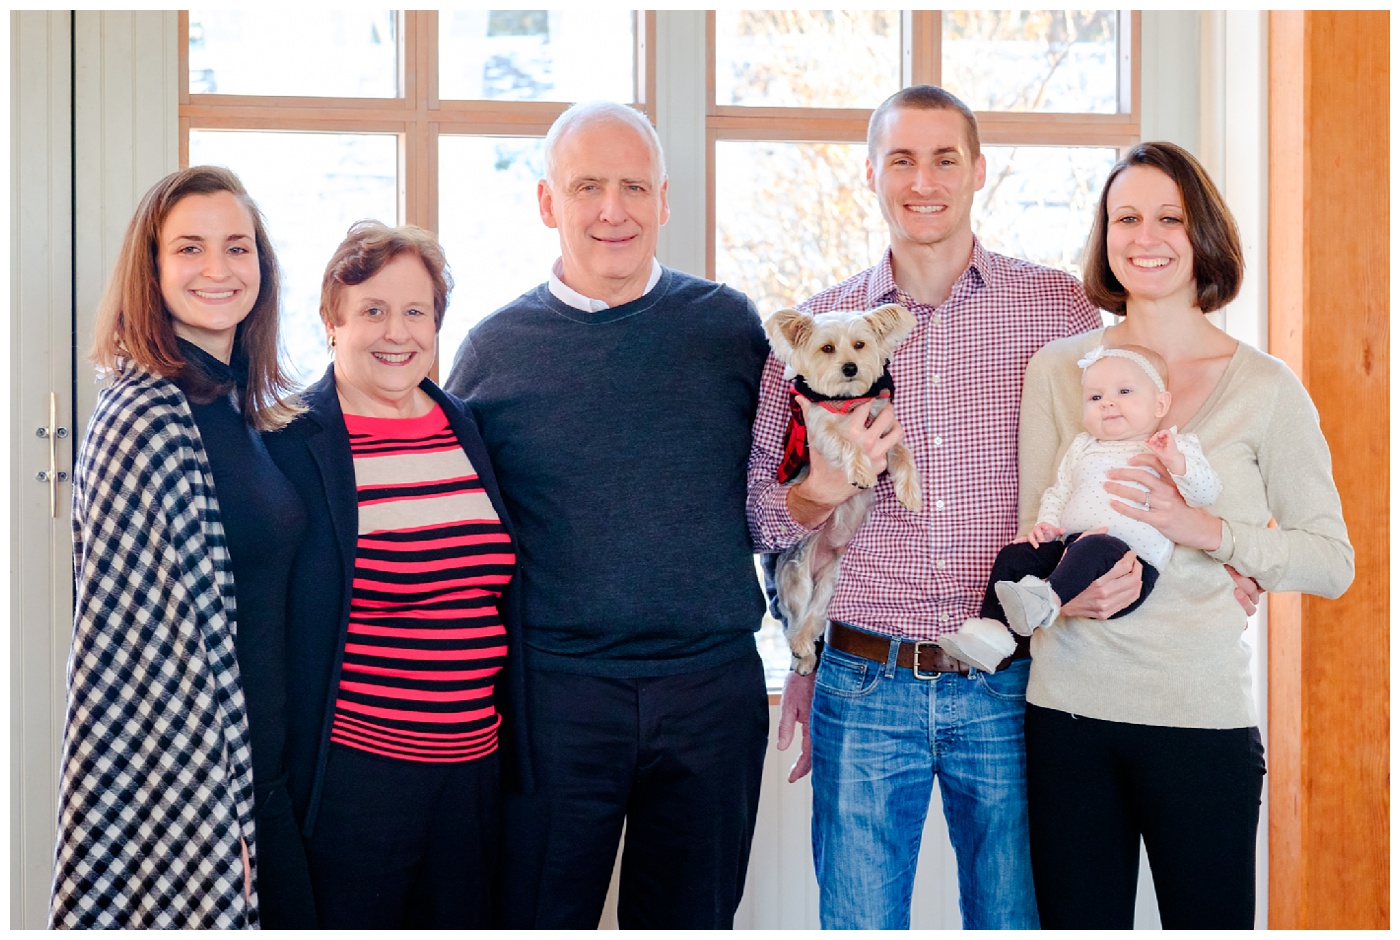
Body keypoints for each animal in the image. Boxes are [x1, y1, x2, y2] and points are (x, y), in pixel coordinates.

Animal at [761, 303, 924, 678]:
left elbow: (903, 453)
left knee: (815, 620)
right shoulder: (820, 430)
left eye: (860, 345)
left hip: (830, 583)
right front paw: (861, 470)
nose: (850, 367)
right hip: (796, 578)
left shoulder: (885, 426)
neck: (849, 401)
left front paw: (910, 492)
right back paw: (800, 651)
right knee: (794, 624)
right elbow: (845, 441)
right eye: (827, 348)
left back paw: (806, 655)